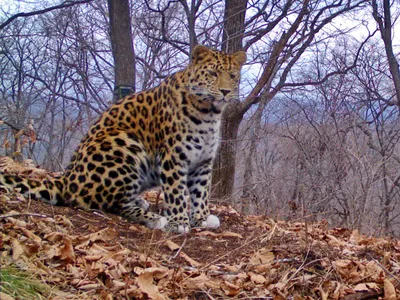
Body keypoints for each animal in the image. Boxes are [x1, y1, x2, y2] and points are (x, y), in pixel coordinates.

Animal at [0, 44, 247, 233]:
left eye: (233, 76)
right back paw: (155, 218)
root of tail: (67, 179)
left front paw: (203, 218)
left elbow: (201, 191)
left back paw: (142, 202)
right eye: (213, 74)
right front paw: (178, 222)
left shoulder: (203, 160)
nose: (225, 91)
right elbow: (176, 191)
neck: (209, 114)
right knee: (107, 203)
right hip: (124, 143)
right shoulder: (173, 157)